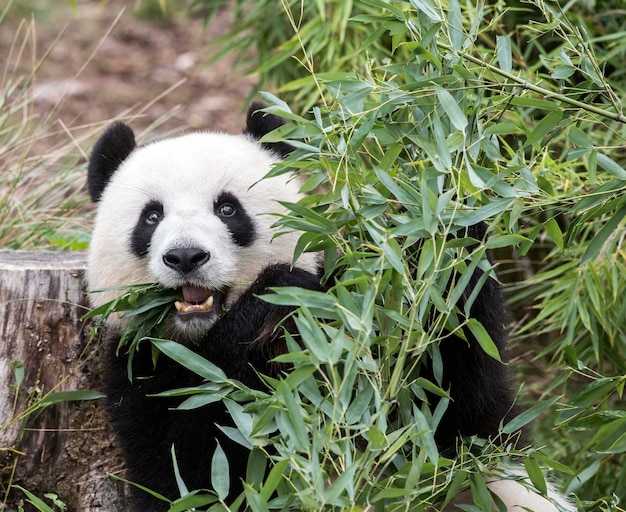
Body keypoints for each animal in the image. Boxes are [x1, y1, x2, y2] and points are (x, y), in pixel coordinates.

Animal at [86, 102, 572, 510]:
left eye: (227, 209)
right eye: (151, 217)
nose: (186, 256)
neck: (199, 337)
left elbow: (459, 404)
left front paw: (431, 209)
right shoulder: (139, 370)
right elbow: (200, 471)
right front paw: (267, 314)